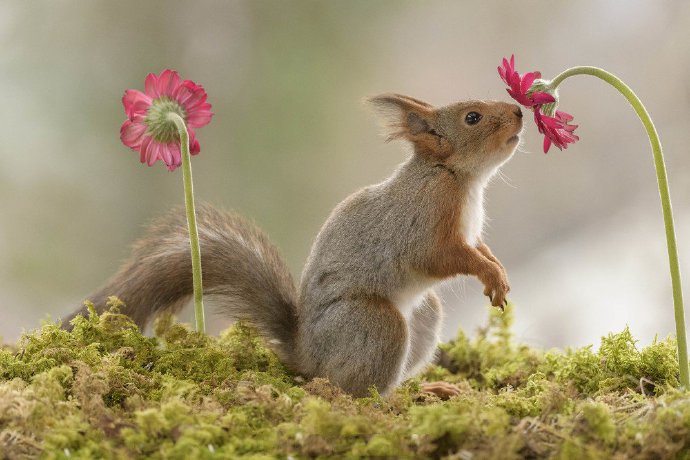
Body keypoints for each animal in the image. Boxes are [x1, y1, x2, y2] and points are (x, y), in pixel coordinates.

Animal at [64, 94, 520, 398]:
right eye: (473, 117)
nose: (519, 111)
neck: (457, 176)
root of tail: (307, 354)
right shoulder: (423, 222)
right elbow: (441, 256)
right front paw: (490, 274)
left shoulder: (470, 233)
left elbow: (480, 247)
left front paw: (497, 268)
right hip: (376, 323)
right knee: (348, 389)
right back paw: (394, 400)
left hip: (423, 316)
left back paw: (430, 388)